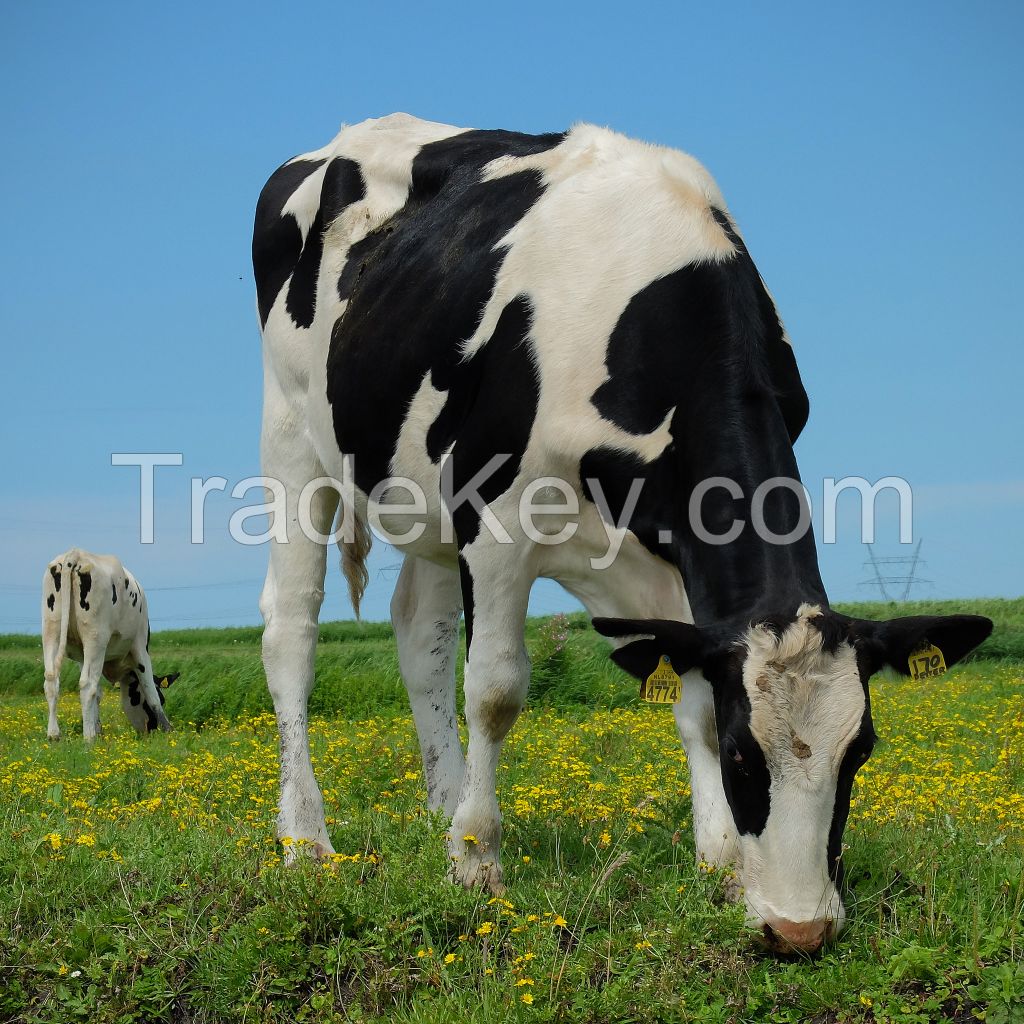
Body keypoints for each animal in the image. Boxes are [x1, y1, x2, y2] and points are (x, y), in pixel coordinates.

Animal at [39, 548, 175, 741]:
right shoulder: (140, 646)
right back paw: (88, 737)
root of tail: (76, 553)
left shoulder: (82, 657)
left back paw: (54, 735)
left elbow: (97, 694)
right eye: (164, 699)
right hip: (96, 637)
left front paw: (97, 728)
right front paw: (168, 729)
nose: (149, 731)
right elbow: (151, 691)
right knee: (87, 684)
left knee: (51, 680)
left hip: (51, 630)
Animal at [253, 116, 991, 954]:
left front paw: (721, 862)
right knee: (291, 628)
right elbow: (496, 690)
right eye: (743, 754)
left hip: (420, 493)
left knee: (418, 630)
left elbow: (690, 692)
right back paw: (308, 841)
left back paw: (441, 805)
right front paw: (476, 862)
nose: (800, 929)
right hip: (292, 436)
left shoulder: (677, 559)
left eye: (860, 751)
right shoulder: (495, 519)